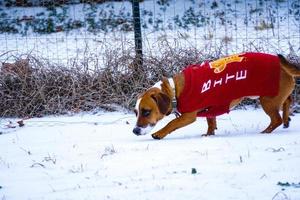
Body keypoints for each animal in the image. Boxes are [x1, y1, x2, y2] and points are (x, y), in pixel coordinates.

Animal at [133, 52, 300, 139]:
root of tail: (283, 67)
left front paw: (159, 133)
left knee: (276, 119)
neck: (175, 91)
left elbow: (171, 123)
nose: (135, 131)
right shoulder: (210, 109)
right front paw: (209, 133)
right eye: (136, 112)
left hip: (267, 101)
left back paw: (266, 132)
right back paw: (286, 119)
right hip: (275, 97)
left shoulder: (188, 116)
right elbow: (210, 121)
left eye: (146, 112)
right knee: (287, 101)